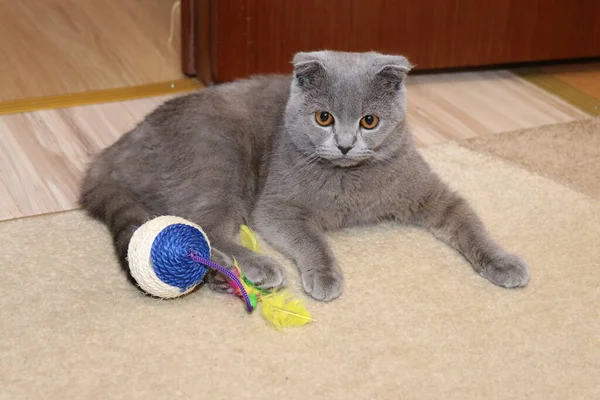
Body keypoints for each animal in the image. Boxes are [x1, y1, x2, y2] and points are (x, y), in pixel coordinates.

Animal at [79, 50, 528, 300]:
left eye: (369, 121)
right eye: (323, 118)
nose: (344, 144)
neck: (351, 183)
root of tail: (114, 149)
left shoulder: (431, 193)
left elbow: (469, 224)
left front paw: (502, 262)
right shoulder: (277, 207)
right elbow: (313, 239)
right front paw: (325, 275)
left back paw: (220, 280)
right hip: (217, 156)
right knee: (204, 227)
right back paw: (253, 268)